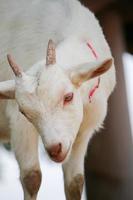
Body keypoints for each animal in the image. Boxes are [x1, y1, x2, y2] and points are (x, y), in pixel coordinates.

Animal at [0, 0, 115, 199]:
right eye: (24, 112)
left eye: (68, 97)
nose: (55, 149)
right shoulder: (19, 123)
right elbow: (32, 177)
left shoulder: (85, 128)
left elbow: (75, 182)